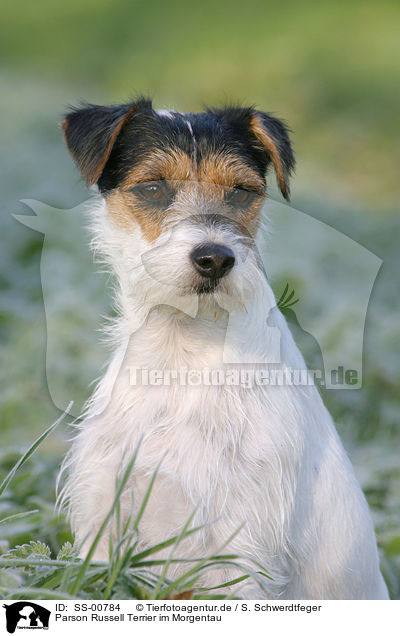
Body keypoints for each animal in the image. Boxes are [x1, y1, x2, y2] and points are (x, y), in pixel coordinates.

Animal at [57, 97, 390, 600]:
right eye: (153, 188)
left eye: (240, 192)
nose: (214, 258)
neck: (184, 350)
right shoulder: (103, 514)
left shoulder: (239, 547)